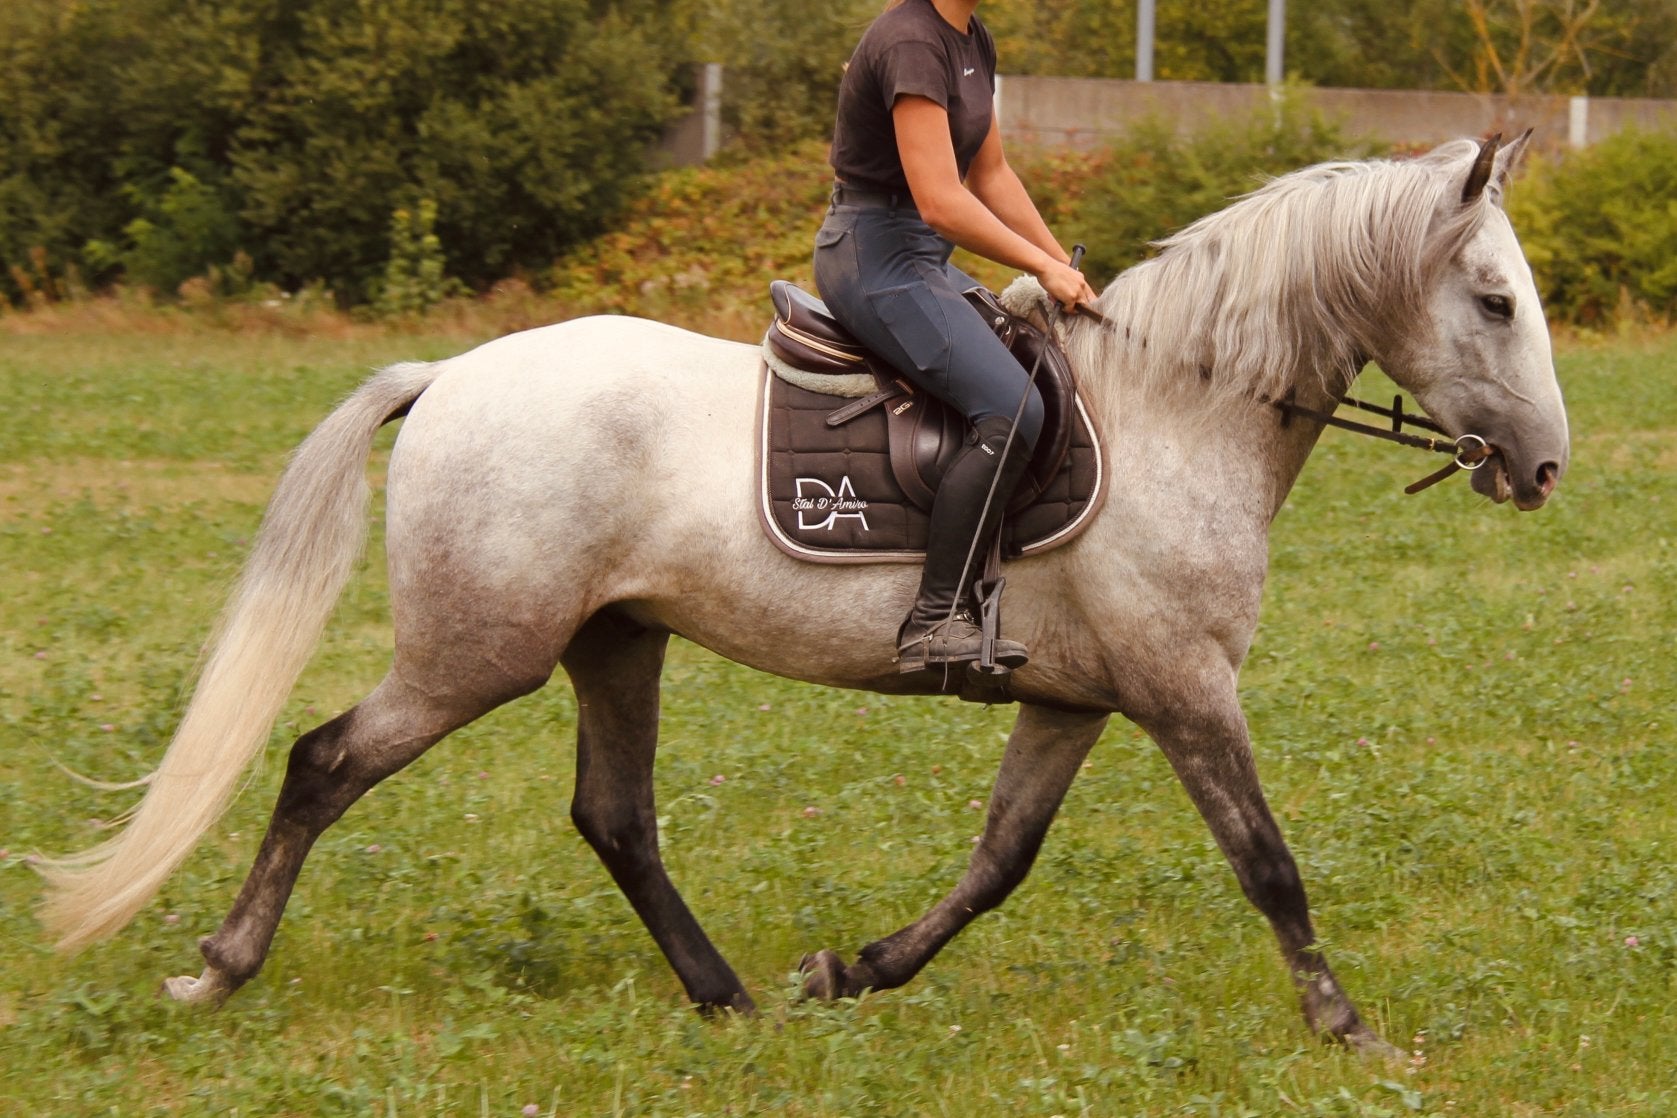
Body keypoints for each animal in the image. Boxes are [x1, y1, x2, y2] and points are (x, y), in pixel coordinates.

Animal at [37, 134, 1568, 1057]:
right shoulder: (1187, 688)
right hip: (480, 652)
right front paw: (1350, 1027)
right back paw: (220, 964)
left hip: (615, 642)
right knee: (323, 761)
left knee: (614, 816)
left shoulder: (1080, 698)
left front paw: (855, 969)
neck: (1177, 412)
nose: (1546, 466)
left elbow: (997, 862)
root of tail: (451, 374)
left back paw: (726, 997)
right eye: (1493, 302)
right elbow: (1268, 859)